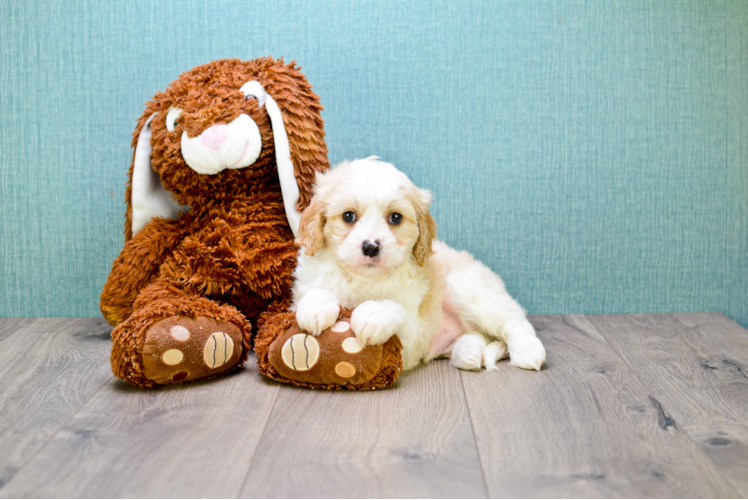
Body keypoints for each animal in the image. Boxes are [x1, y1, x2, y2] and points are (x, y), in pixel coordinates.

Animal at [290, 156, 544, 372]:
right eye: (348, 216)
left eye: (395, 218)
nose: (371, 246)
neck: (364, 279)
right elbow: (315, 291)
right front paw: (315, 307)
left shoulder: (411, 337)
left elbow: (393, 307)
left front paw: (372, 316)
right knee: (480, 335)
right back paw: (467, 352)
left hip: (466, 288)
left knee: (514, 319)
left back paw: (528, 351)